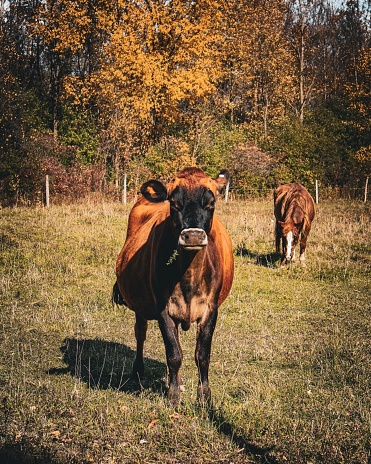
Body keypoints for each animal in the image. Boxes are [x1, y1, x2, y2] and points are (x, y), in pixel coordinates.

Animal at [115, 168, 234, 406]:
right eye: (174, 203)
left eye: (211, 203)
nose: (193, 236)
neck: (189, 275)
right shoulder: (163, 309)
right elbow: (174, 354)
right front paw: (172, 395)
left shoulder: (211, 309)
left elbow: (202, 355)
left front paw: (204, 396)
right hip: (140, 307)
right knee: (140, 334)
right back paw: (139, 370)